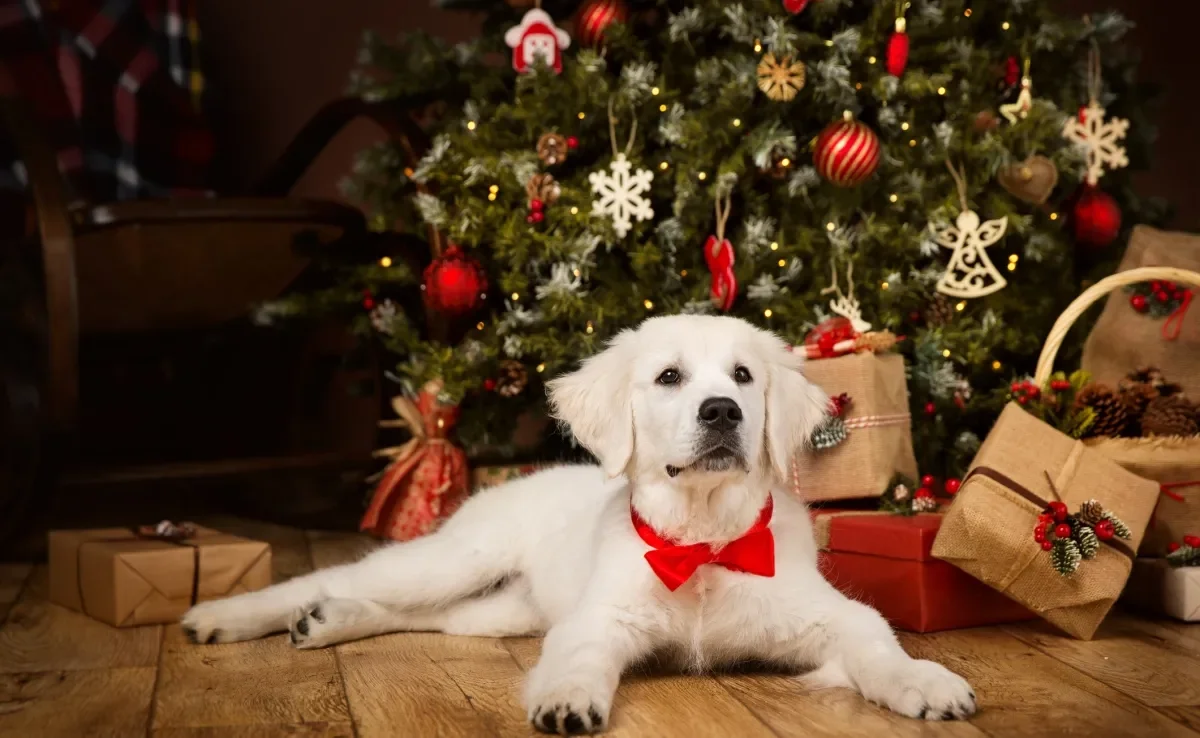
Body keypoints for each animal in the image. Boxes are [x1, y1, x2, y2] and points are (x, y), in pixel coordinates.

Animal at [184, 316, 974, 734]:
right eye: (669, 378)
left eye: (745, 377)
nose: (723, 412)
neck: (700, 542)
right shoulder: (598, 619)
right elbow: (579, 659)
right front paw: (568, 700)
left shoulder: (828, 614)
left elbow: (879, 644)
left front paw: (925, 682)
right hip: (456, 559)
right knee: (339, 576)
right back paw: (227, 616)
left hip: (506, 609)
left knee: (424, 615)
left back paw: (329, 621)